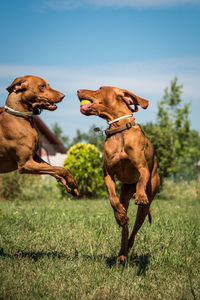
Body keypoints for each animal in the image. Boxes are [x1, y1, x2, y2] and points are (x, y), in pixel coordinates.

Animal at [77, 85, 160, 262]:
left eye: (100, 88)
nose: (78, 90)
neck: (119, 130)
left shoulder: (142, 168)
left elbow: (141, 180)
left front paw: (140, 195)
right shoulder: (108, 175)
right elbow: (112, 199)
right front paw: (119, 215)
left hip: (146, 205)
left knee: (134, 231)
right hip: (126, 193)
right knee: (125, 227)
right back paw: (122, 249)